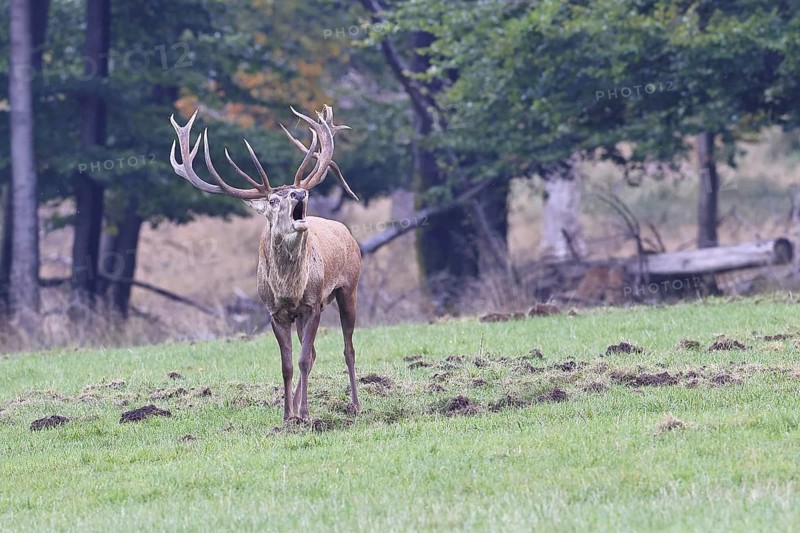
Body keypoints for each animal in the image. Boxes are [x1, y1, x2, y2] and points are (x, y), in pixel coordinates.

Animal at [169, 105, 362, 422]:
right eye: (272, 200)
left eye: (297, 191)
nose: (299, 193)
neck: (288, 290)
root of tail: (347, 232)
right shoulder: (275, 312)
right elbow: (287, 364)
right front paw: (287, 415)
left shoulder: (312, 304)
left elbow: (303, 359)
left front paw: (304, 414)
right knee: (316, 352)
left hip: (349, 289)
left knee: (348, 349)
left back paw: (355, 405)